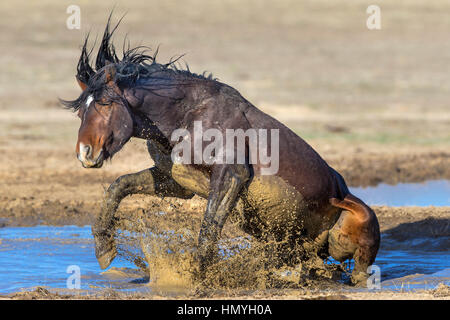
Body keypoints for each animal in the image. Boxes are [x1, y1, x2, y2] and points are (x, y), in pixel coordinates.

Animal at [62, 17, 380, 284]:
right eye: (80, 111)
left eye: (105, 103)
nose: (85, 153)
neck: (189, 114)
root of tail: (342, 192)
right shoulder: (173, 181)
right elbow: (119, 186)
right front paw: (104, 247)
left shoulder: (232, 174)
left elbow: (209, 226)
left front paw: (199, 278)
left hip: (357, 230)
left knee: (357, 270)